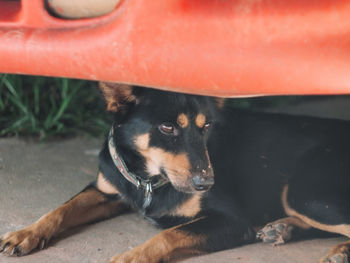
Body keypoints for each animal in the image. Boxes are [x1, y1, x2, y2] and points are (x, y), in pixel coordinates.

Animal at [0, 85, 350, 263]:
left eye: (206, 127)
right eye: (167, 128)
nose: (207, 183)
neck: (148, 179)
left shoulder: (232, 221)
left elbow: (168, 235)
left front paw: (128, 259)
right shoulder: (105, 190)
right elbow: (60, 209)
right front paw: (25, 233)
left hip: (304, 192)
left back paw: (336, 250)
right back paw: (283, 228)